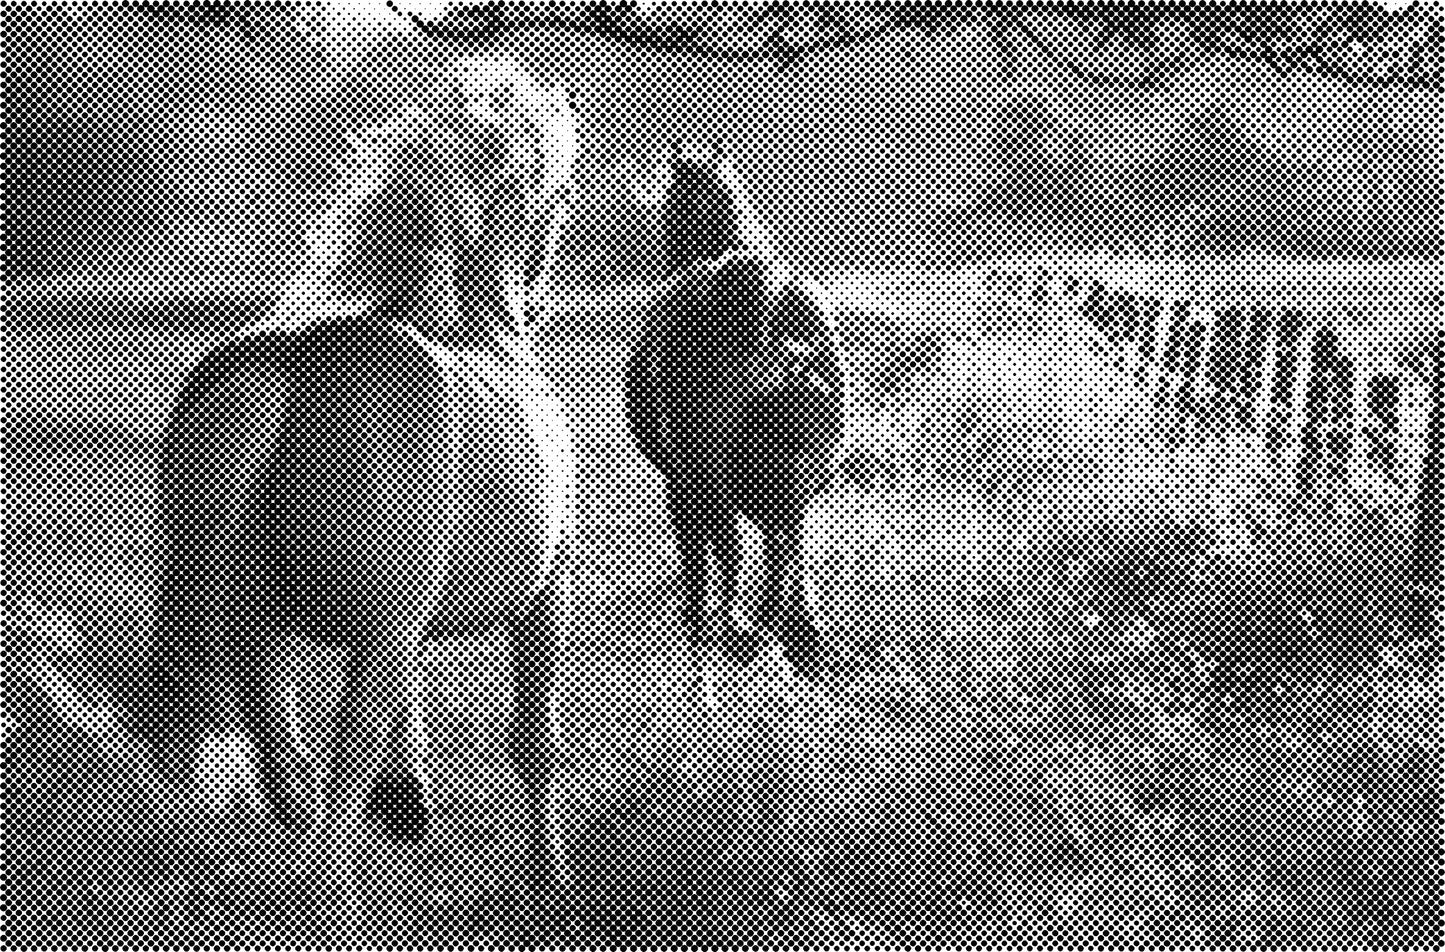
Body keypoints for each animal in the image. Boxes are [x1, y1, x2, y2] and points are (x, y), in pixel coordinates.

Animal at [25, 54, 580, 938]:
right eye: (555, 190)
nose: (535, 296)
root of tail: (288, 365)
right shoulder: (540, 599)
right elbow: (535, 746)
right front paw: (549, 888)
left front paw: (409, 796)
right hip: (367, 636)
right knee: (332, 790)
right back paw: (335, 915)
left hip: (258, 636)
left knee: (291, 787)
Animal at [625, 143, 846, 679]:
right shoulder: (707, 485)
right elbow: (725, 555)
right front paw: (731, 630)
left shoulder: (779, 495)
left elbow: (779, 555)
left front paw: (793, 632)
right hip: (700, 487)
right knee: (712, 549)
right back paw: (710, 622)